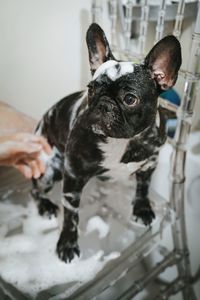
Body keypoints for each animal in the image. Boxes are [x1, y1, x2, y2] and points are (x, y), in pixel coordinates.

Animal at [30, 23, 181, 262]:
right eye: (91, 89)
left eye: (130, 99)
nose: (103, 104)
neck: (121, 141)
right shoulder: (73, 177)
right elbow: (71, 216)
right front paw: (67, 244)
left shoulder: (150, 162)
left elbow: (143, 187)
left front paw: (142, 209)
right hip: (48, 168)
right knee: (35, 190)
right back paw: (45, 206)